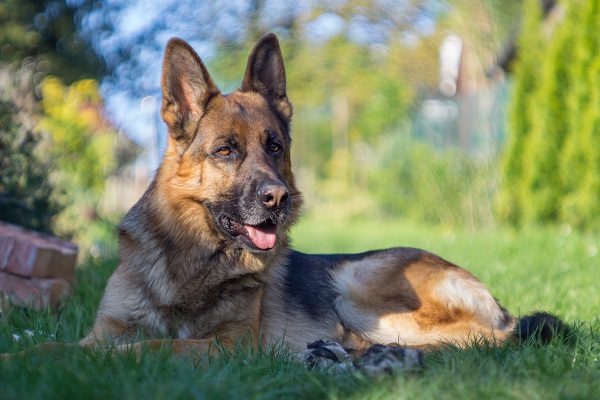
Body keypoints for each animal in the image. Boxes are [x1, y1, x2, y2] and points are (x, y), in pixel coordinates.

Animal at [2, 33, 568, 366]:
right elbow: (52, 345)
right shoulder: (102, 332)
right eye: (226, 150)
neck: (193, 257)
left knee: (478, 342)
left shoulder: (226, 347)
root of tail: (498, 305)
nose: (278, 197)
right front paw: (21, 358)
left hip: (354, 285)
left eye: (275, 147)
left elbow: (153, 344)